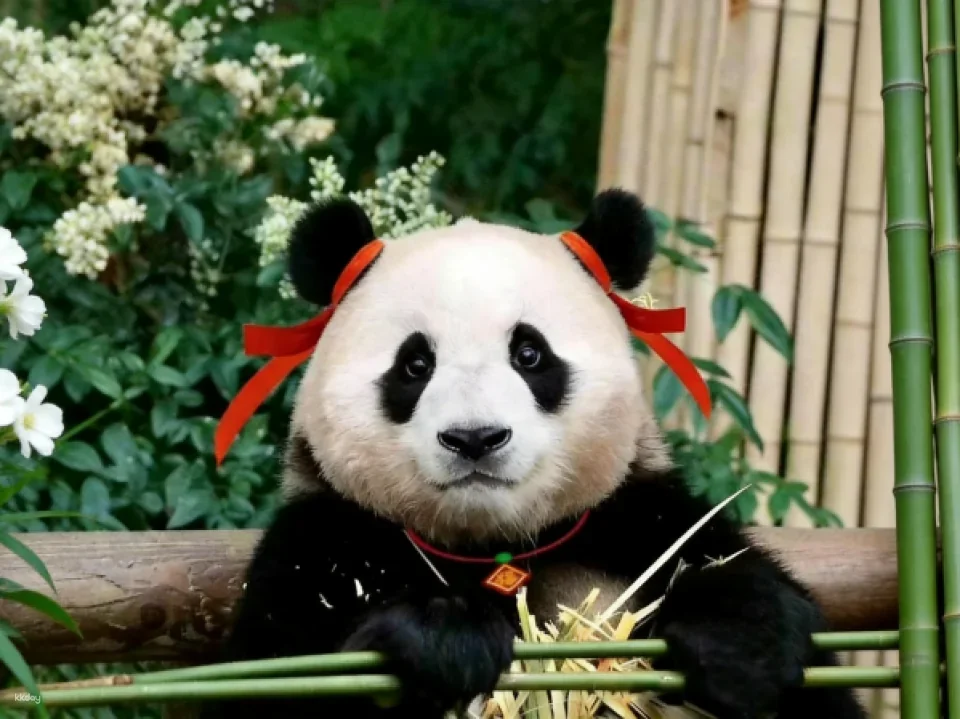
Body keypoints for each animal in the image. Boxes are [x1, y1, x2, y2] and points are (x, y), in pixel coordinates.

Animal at [205, 189, 866, 719]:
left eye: (529, 354)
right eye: (415, 365)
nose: (474, 438)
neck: (498, 549)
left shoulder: (640, 519)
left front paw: (742, 637)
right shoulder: (319, 546)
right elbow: (271, 682)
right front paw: (443, 635)